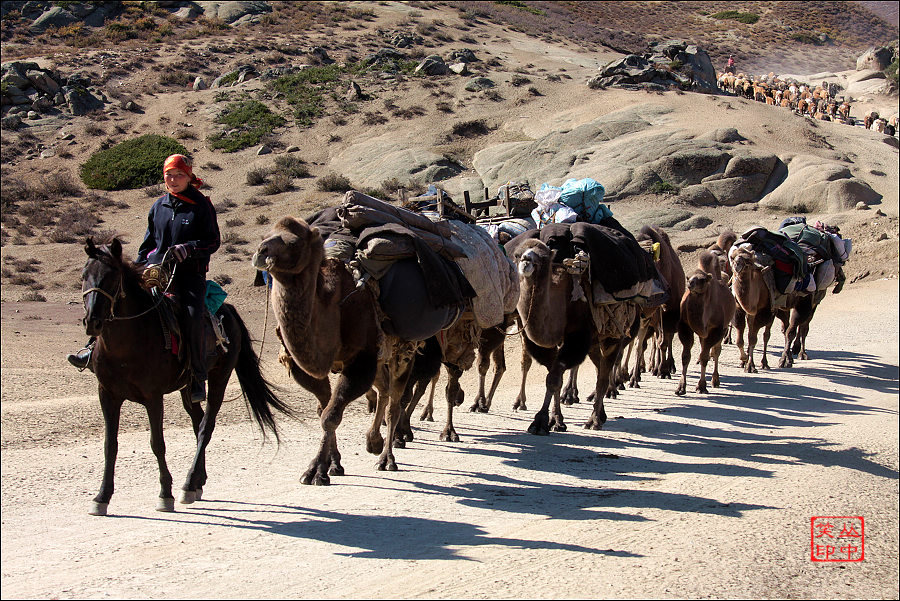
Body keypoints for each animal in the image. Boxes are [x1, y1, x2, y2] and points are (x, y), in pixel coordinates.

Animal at [81, 237, 290, 512]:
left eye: (112, 277)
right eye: (84, 276)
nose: (92, 322)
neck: (125, 347)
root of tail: (228, 310)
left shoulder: (153, 397)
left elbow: (157, 443)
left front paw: (165, 494)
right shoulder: (107, 395)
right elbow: (110, 446)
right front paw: (101, 497)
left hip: (219, 377)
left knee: (206, 426)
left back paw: (188, 484)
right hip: (188, 388)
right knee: (197, 421)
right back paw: (198, 482)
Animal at [676, 248, 740, 394]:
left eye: (702, 279)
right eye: (688, 277)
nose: (690, 283)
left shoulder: (716, 328)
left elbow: (706, 356)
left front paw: (701, 386)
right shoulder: (685, 326)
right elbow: (685, 356)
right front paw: (681, 387)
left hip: (722, 328)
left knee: (716, 351)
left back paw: (715, 380)